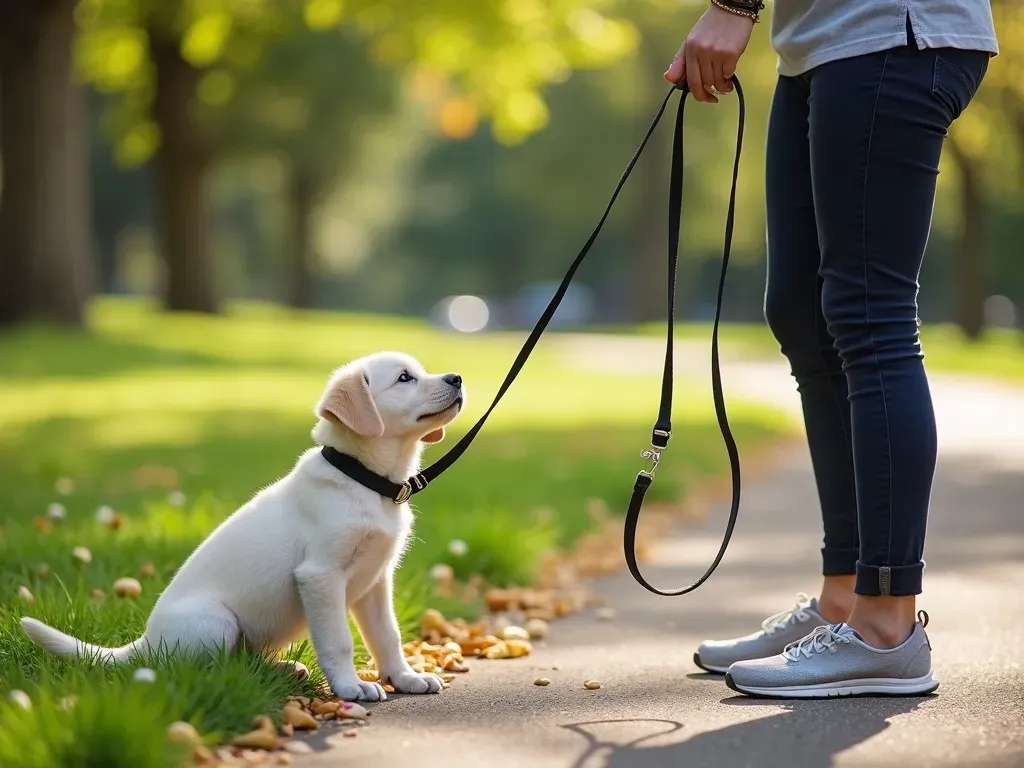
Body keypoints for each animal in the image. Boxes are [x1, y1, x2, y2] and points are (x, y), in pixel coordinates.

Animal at [19, 354, 464, 704]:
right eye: (404, 378)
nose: (457, 378)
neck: (363, 479)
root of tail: (143, 644)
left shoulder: (375, 581)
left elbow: (387, 635)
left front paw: (404, 678)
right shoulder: (320, 575)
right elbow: (338, 639)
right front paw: (350, 687)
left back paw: (284, 670)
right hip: (216, 624)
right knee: (205, 671)